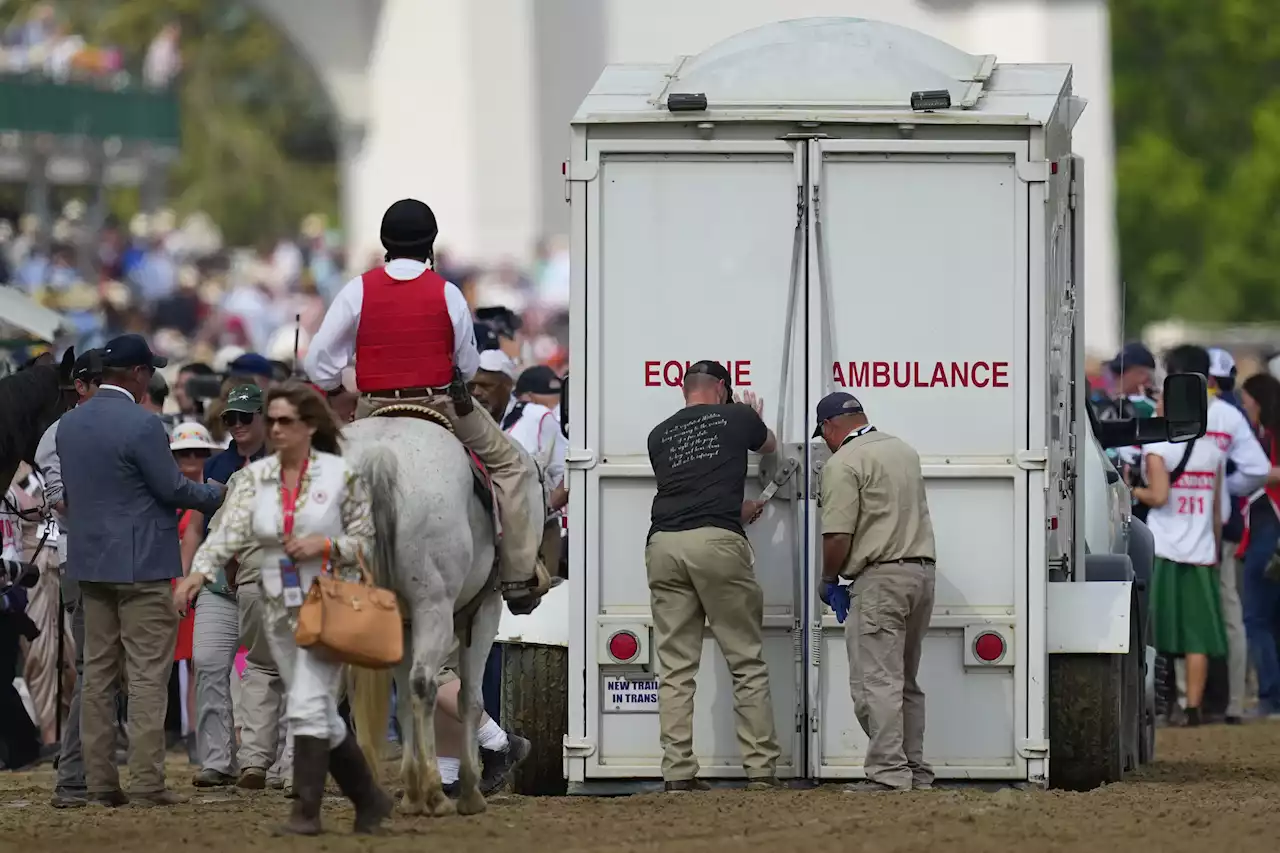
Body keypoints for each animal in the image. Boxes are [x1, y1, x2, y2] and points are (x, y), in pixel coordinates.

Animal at [340, 414, 545, 814]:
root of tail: (380, 456)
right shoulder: (484, 610)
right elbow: (470, 697)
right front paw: (469, 791)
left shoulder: (404, 625)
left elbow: (404, 697)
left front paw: (411, 791)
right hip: (434, 606)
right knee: (425, 683)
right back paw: (437, 792)